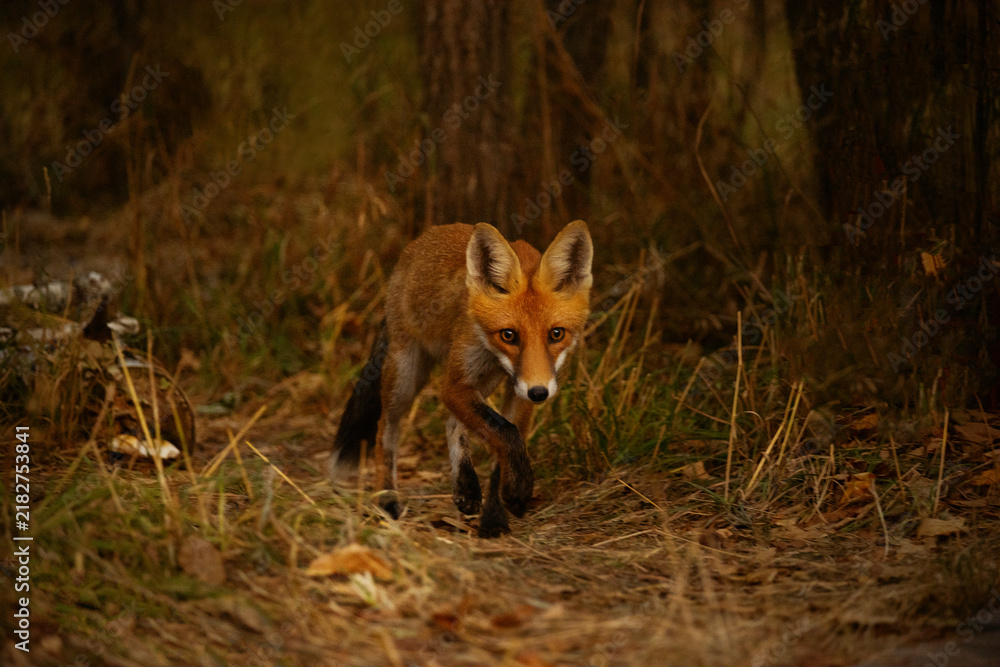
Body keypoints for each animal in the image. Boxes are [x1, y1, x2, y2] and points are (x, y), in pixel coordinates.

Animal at [329, 220, 593, 537]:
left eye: (556, 334)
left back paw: (465, 487)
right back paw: (388, 501)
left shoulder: (518, 389)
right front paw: (518, 492)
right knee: (385, 430)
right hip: (407, 373)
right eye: (509, 335)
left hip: (484, 379)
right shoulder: (455, 385)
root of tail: (417, 244)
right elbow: (506, 434)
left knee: (452, 422)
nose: (539, 393)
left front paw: (495, 515)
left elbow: (504, 443)